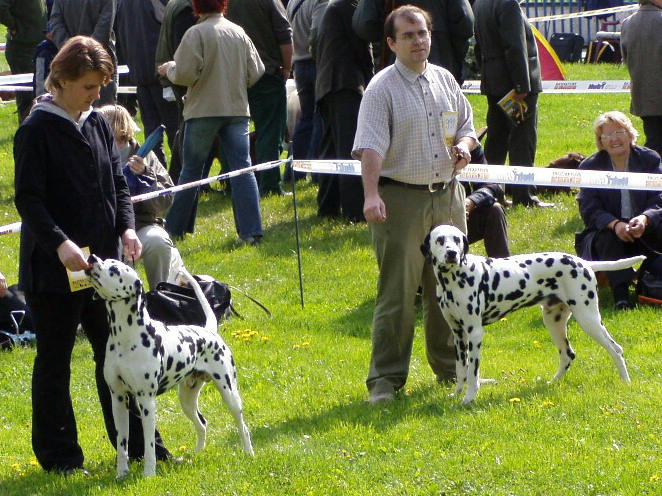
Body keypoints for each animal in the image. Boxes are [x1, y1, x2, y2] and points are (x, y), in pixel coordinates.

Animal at [87, 256, 253, 476]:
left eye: (114, 269)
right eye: (104, 260)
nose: (91, 258)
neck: (126, 336)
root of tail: (209, 330)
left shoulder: (146, 402)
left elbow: (149, 445)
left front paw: (149, 474)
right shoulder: (119, 400)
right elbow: (123, 444)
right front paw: (121, 474)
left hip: (229, 393)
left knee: (242, 426)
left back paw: (249, 453)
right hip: (187, 400)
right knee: (202, 424)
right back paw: (197, 454)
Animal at [420, 225, 644, 406]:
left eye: (457, 239)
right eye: (440, 240)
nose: (452, 253)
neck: (454, 278)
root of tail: (583, 262)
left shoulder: (474, 333)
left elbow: (472, 373)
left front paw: (469, 398)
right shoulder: (458, 334)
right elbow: (461, 369)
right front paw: (456, 393)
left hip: (589, 319)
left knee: (616, 349)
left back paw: (625, 381)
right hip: (554, 322)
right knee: (568, 354)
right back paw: (552, 382)